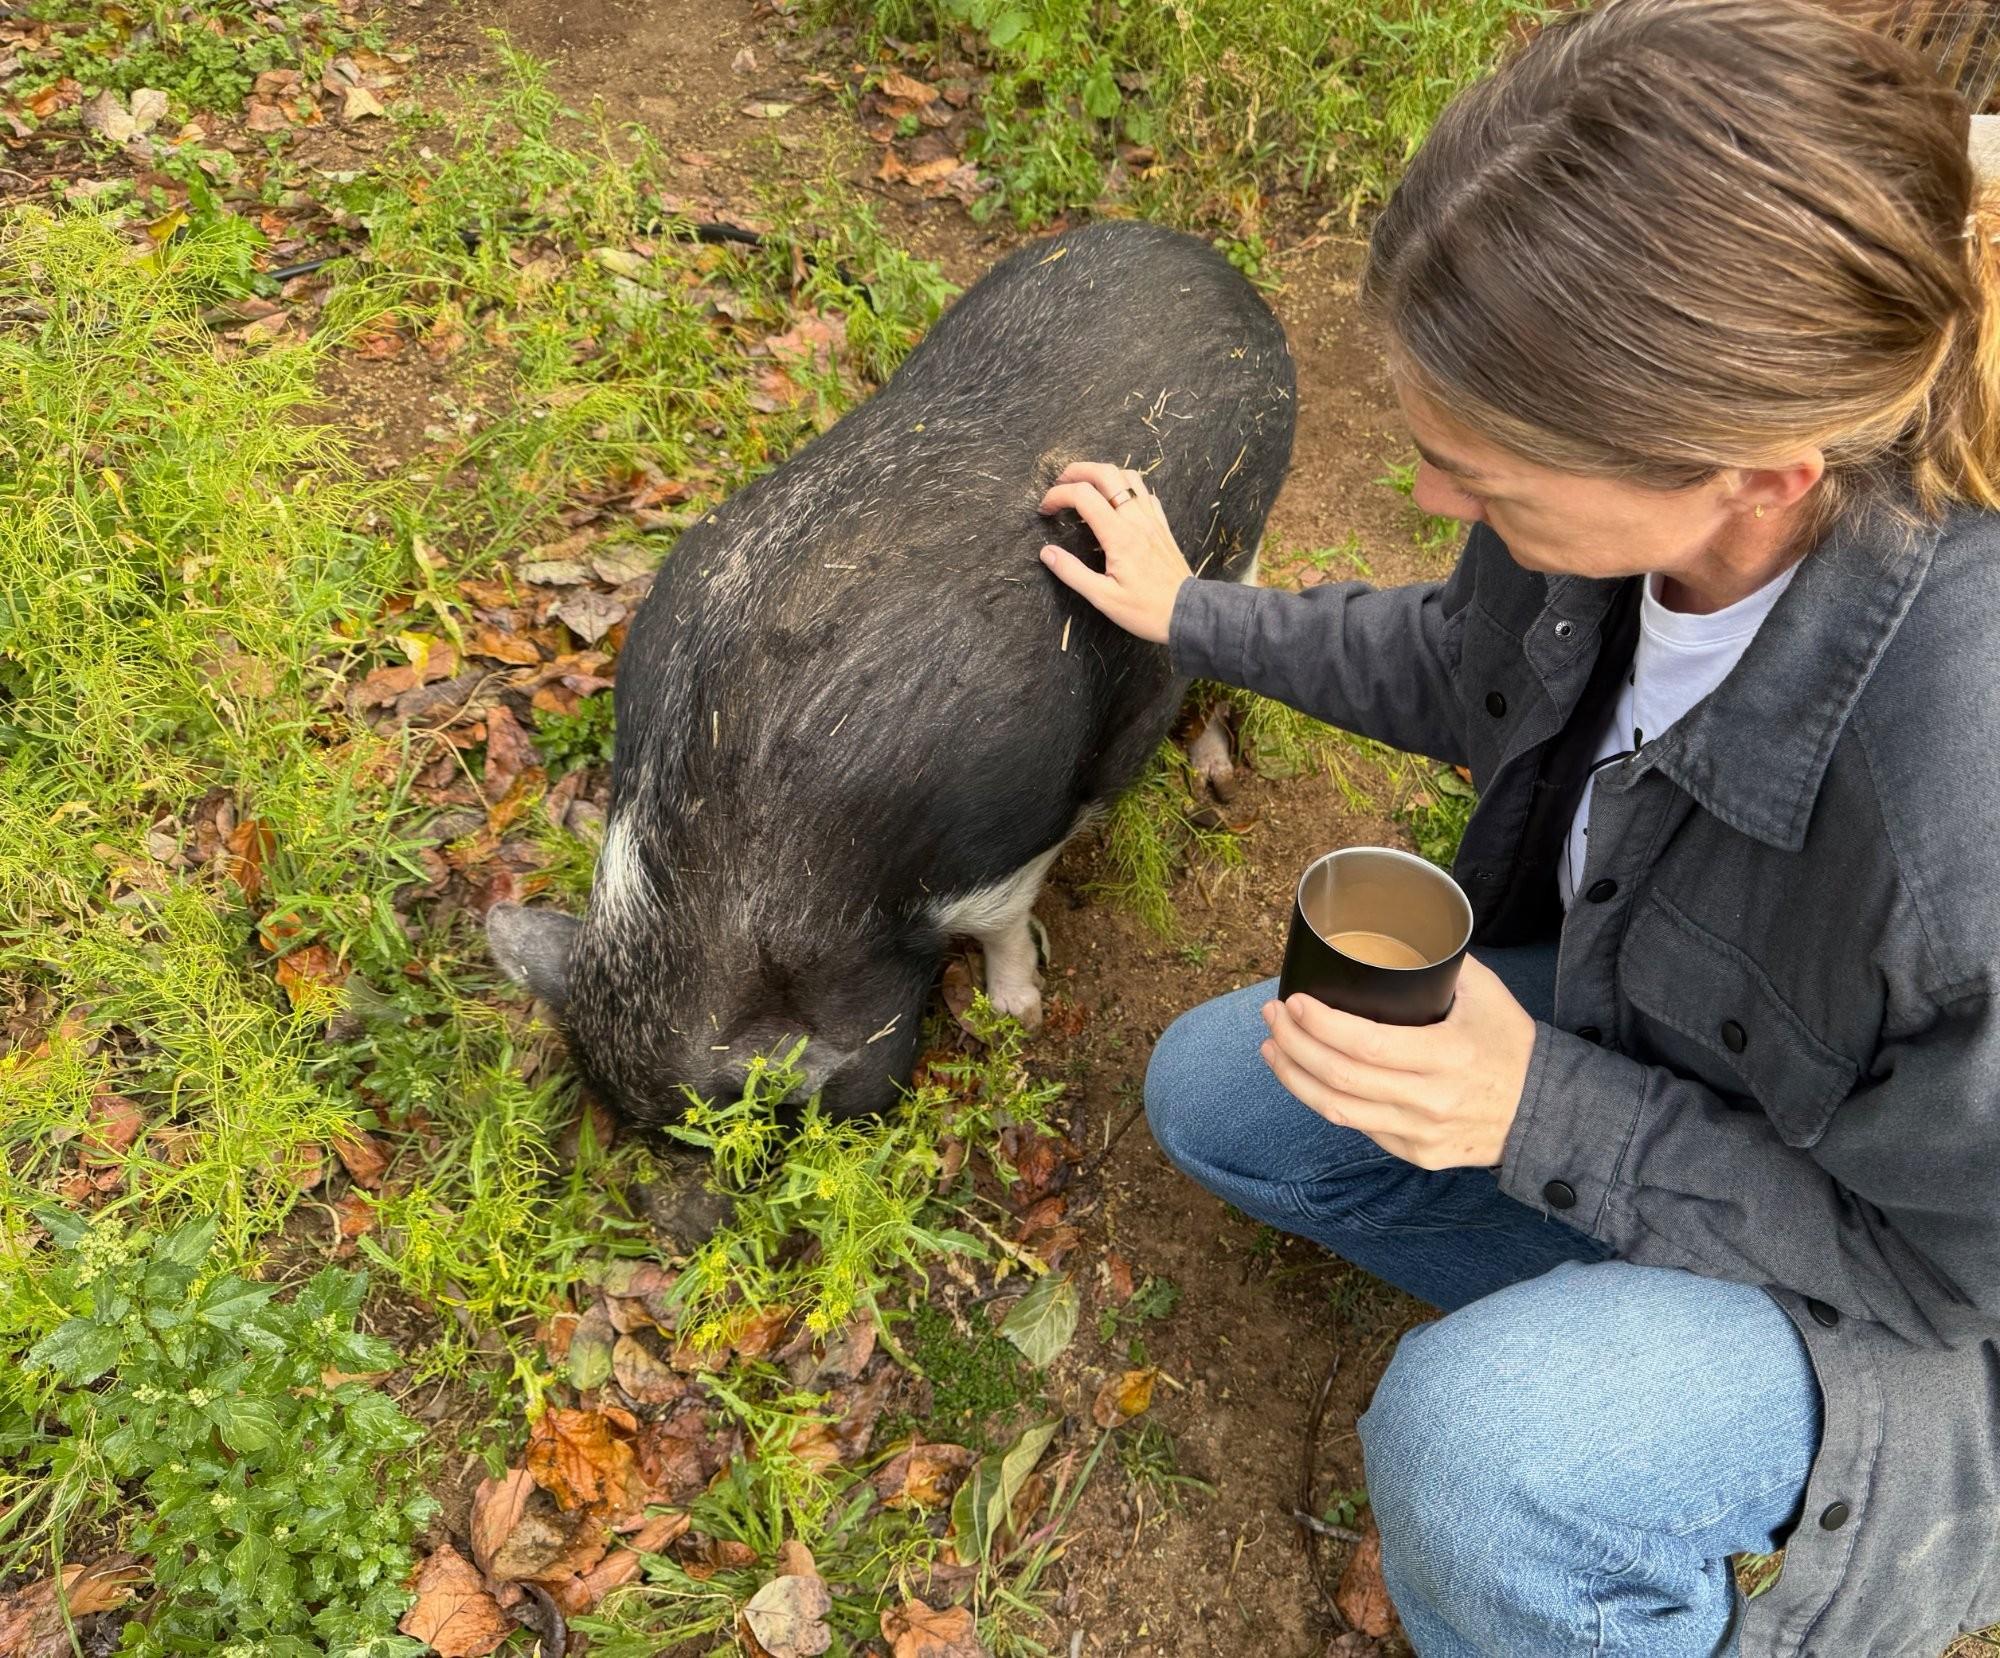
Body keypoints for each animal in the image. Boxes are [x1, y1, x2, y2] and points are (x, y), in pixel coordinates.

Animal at [487, 219, 1295, 1128]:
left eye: (759, 1119)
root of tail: (1209, 262)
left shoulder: (1008, 841)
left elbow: (1004, 923)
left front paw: (1017, 1014)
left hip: (1248, 518)